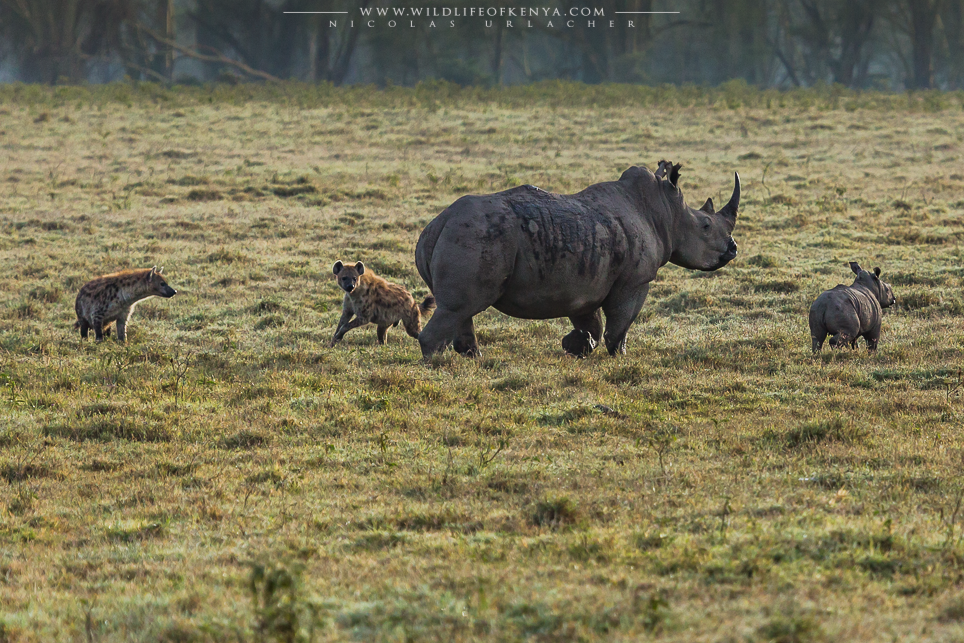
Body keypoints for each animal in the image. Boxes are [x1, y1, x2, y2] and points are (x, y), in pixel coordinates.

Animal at [414, 160, 740, 358]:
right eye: (706, 226)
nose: (733, 249)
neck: (665, 211)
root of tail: (436, 225)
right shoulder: (635, 281)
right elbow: (621, 323)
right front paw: (619, 354)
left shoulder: (585, 282)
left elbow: (591, 322)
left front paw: (576, 346)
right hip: (476, 234)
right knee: (459, 307)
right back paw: (438, 364)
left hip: (464, 233)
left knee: (462, 310)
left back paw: (474, 359)